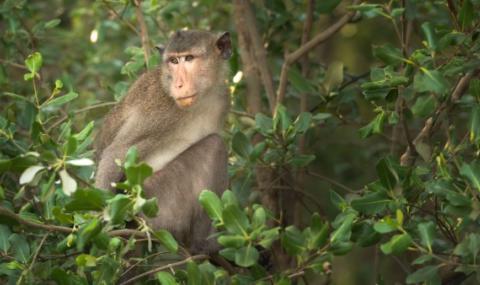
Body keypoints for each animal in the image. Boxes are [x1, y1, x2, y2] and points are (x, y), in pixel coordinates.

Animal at [94, 30, 232, 252]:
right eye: (173, 61)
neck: (202, 98)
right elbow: (116, 152)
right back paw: (200, 245)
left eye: (189, 58)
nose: (178, 84)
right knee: (215, 146)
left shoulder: (222, 98)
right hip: (156, 207)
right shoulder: (160, 110)